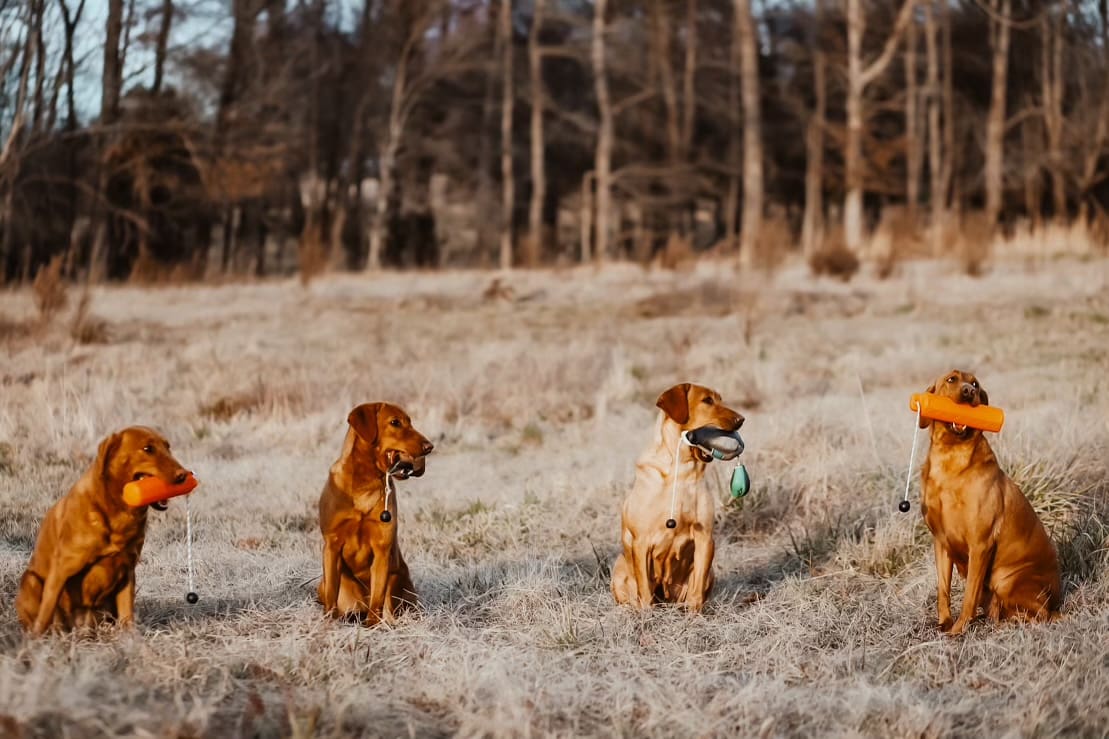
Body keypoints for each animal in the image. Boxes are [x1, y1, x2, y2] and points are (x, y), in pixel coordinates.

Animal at [16, 426, 189, 634]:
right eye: (148, 449)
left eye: (168, 447)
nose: (184, 475)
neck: (119, 512)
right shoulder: (61, 569)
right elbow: (47, 610)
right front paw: (35, 640)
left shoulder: (127, 572)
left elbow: (127, 615)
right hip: (30, 580)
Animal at [317, 403, 432, 621]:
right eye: (395, 422)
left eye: (410, 422)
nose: (429, 447)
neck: (365, 481)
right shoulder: (331, 546)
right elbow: (331, 594)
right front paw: (328, 622)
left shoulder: (382, 550)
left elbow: (378, 599)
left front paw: (373, 625)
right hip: (324, 583)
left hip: (398, 581)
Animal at [612, 381, 749, 608]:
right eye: (707, 400)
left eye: (720, 400)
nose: (741, 419)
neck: (682, 470)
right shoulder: (641, 542)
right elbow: (645, 592)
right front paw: (646, 616)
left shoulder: (705, 538)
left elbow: (697, 593)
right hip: (619, 567)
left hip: (709, 573)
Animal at [913, 368, 1060, 634]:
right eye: (951, 379)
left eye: (975, 384)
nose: (968, 392)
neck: (950, 461)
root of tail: (1057, 600)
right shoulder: (941, 542)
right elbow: (943, 590)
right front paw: (944, 623)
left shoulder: (980, 543)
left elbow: (969, 594)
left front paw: (958, 629)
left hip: (1006, 580)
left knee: (1041, 614)